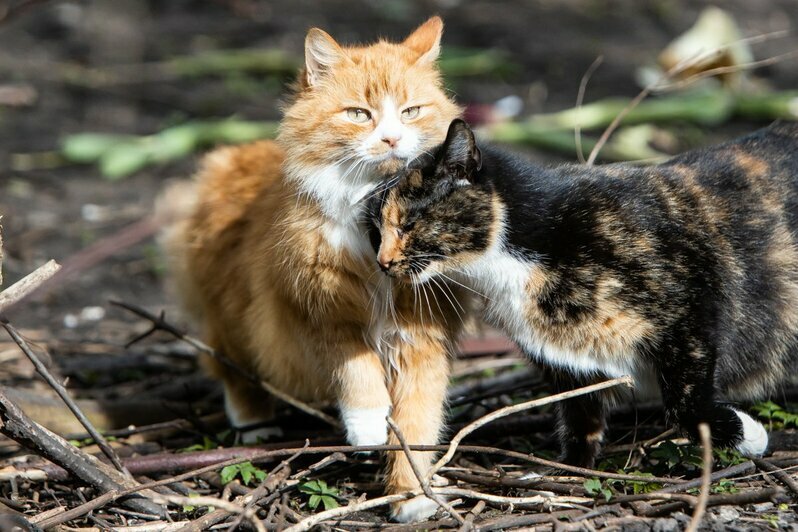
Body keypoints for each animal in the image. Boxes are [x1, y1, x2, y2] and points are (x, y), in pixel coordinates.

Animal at [160, 17, 466, 524]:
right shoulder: (321, 313)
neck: (375, 209)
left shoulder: (421, 334)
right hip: (234, 324)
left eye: (411, 112)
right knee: (232, 370)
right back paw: (255, 425)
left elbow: (417, 424)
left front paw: (412, 496)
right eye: (359, 114)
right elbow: (359, 375)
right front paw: (368, 430)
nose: (392, 139)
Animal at [372, 119, 798, 466]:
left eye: (409, 223)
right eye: (377, 229)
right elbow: (580, 417)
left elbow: (685, 404)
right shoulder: (568, 364)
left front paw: (752, 437)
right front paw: (572, 467)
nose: (383, 261)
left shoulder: (694, 301)